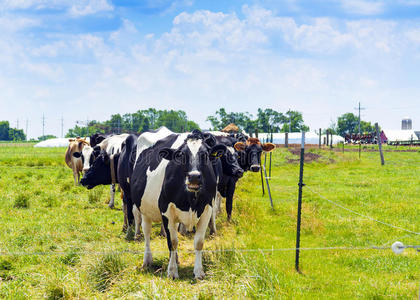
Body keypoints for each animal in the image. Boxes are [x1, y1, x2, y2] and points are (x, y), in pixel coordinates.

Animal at [131, 129, 226, 278]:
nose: (194, 177)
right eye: (181, 155)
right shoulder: (166, 211)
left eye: (205, 155)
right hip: (144, 209)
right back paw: (147, 261)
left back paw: (175, 260)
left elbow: (199, 242)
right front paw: (172, 272)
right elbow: (173, 242)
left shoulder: (207, 209)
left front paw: (199, 272)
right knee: (146, 232)